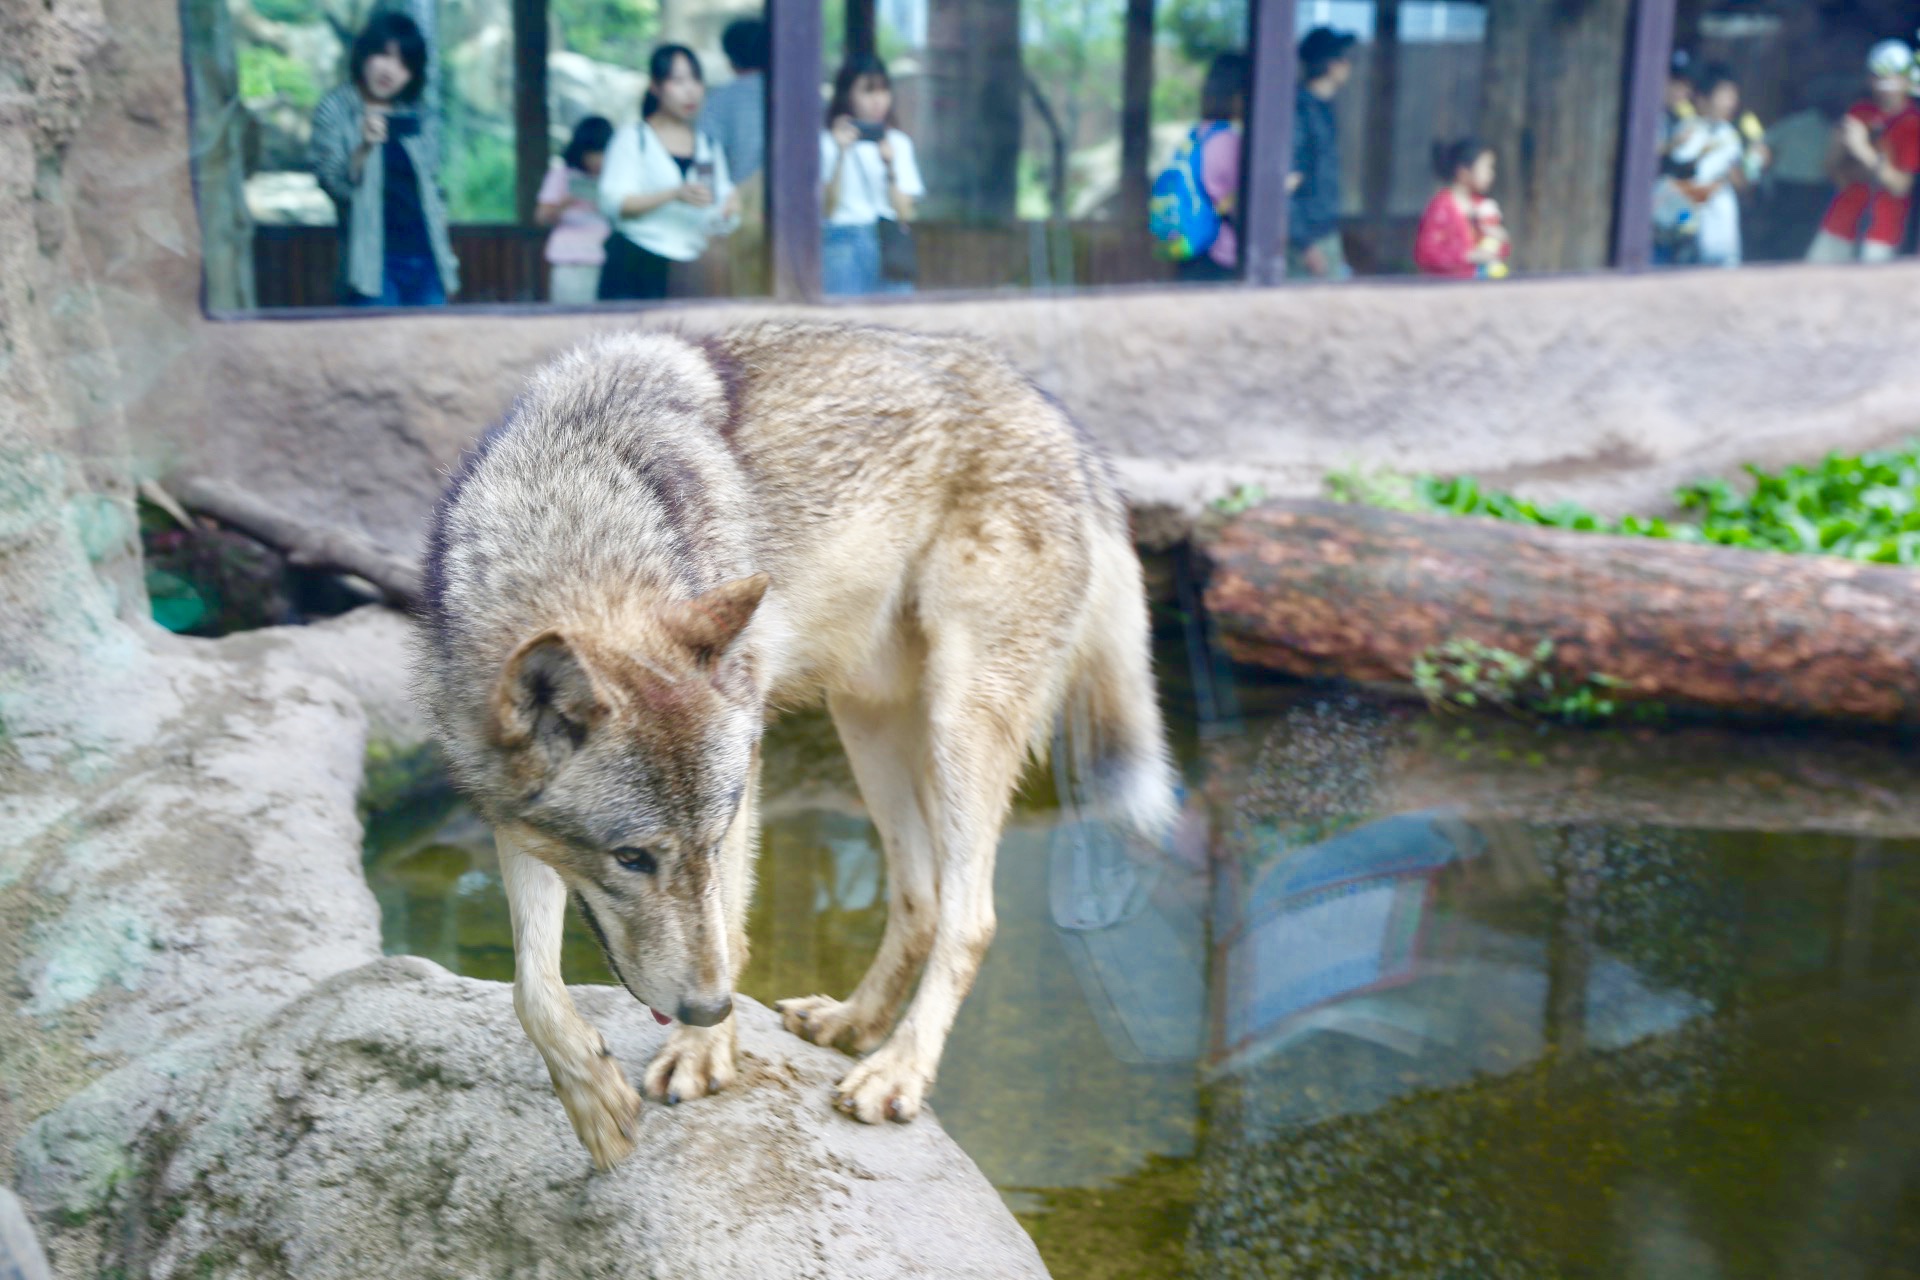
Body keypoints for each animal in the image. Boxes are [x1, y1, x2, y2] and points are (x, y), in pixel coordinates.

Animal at [416, 322, 1167, 1174]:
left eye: (706, 843)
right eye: (631, 859)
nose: (705, 1007)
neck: (581, 528)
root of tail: (1070, 430)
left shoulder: (744, 779)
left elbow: (730, 930)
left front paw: (704, 1053)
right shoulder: (511, 818)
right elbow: (532, 987)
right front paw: (594, 1101)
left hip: (959, 726)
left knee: (970, 917)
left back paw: (897, 1070)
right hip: (866, 721)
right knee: (921, 898)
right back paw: (850, 1025)